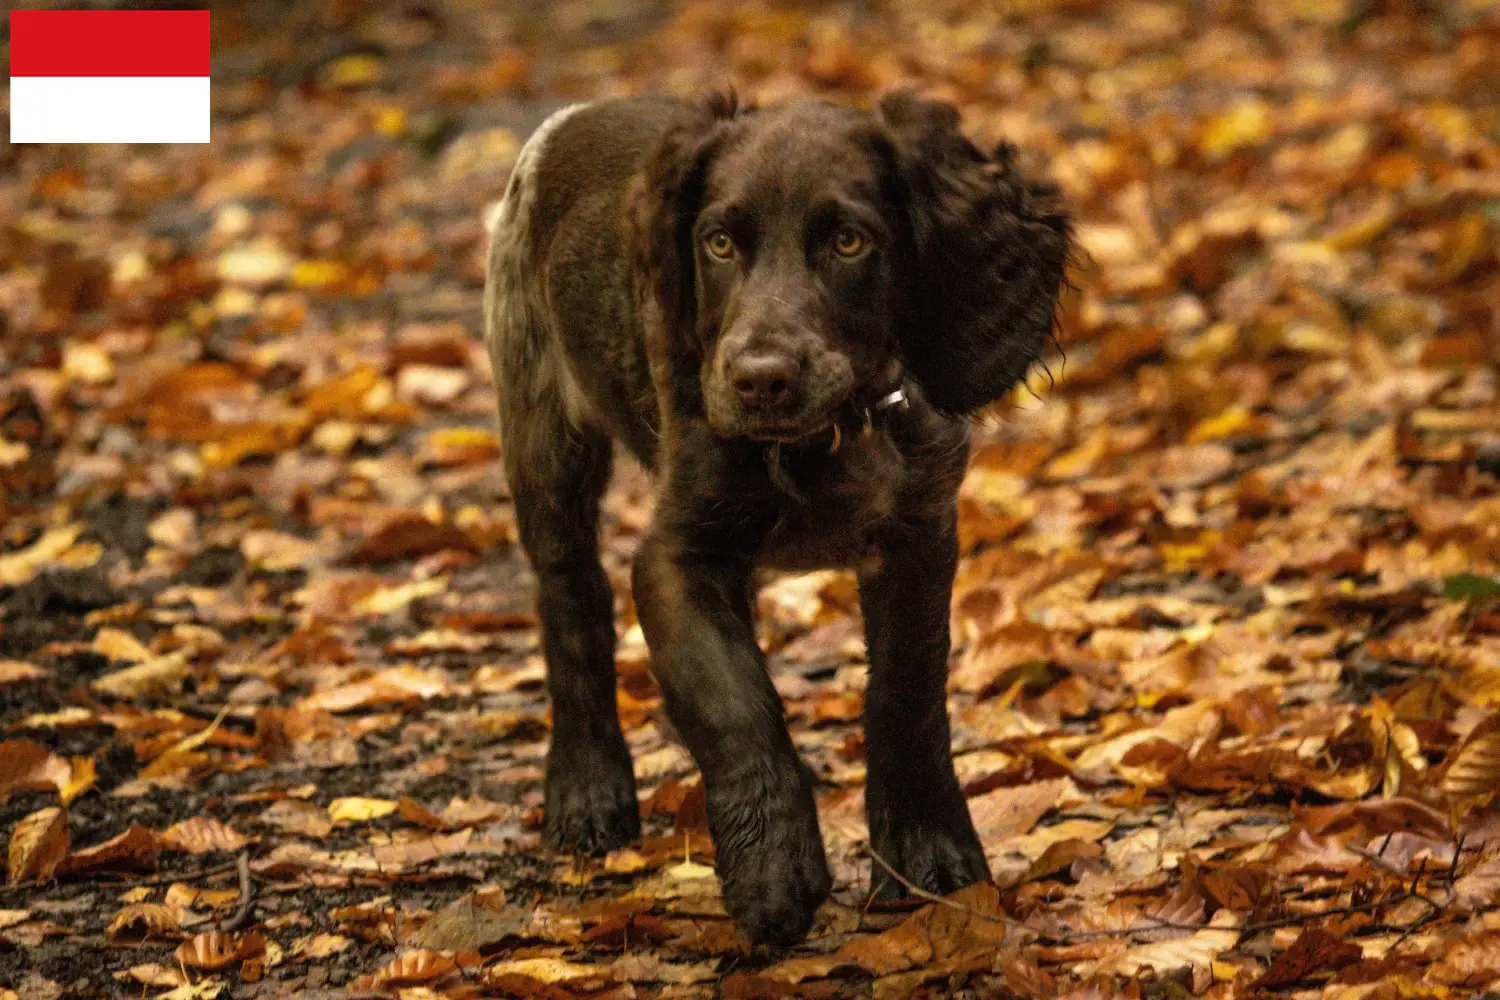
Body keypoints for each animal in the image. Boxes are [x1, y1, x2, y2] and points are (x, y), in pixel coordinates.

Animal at [480, 91, 1068, 947]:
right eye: (718, 243)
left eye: (850, 242)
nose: (758, 381)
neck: (824, 441)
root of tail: (581, 110)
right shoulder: (677, 556)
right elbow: (733, 705)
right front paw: (773, 874)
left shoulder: (921, 534)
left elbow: (908, 692)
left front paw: (927, 857)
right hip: (541, 433)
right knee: (571, 603)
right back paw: (587, 789)